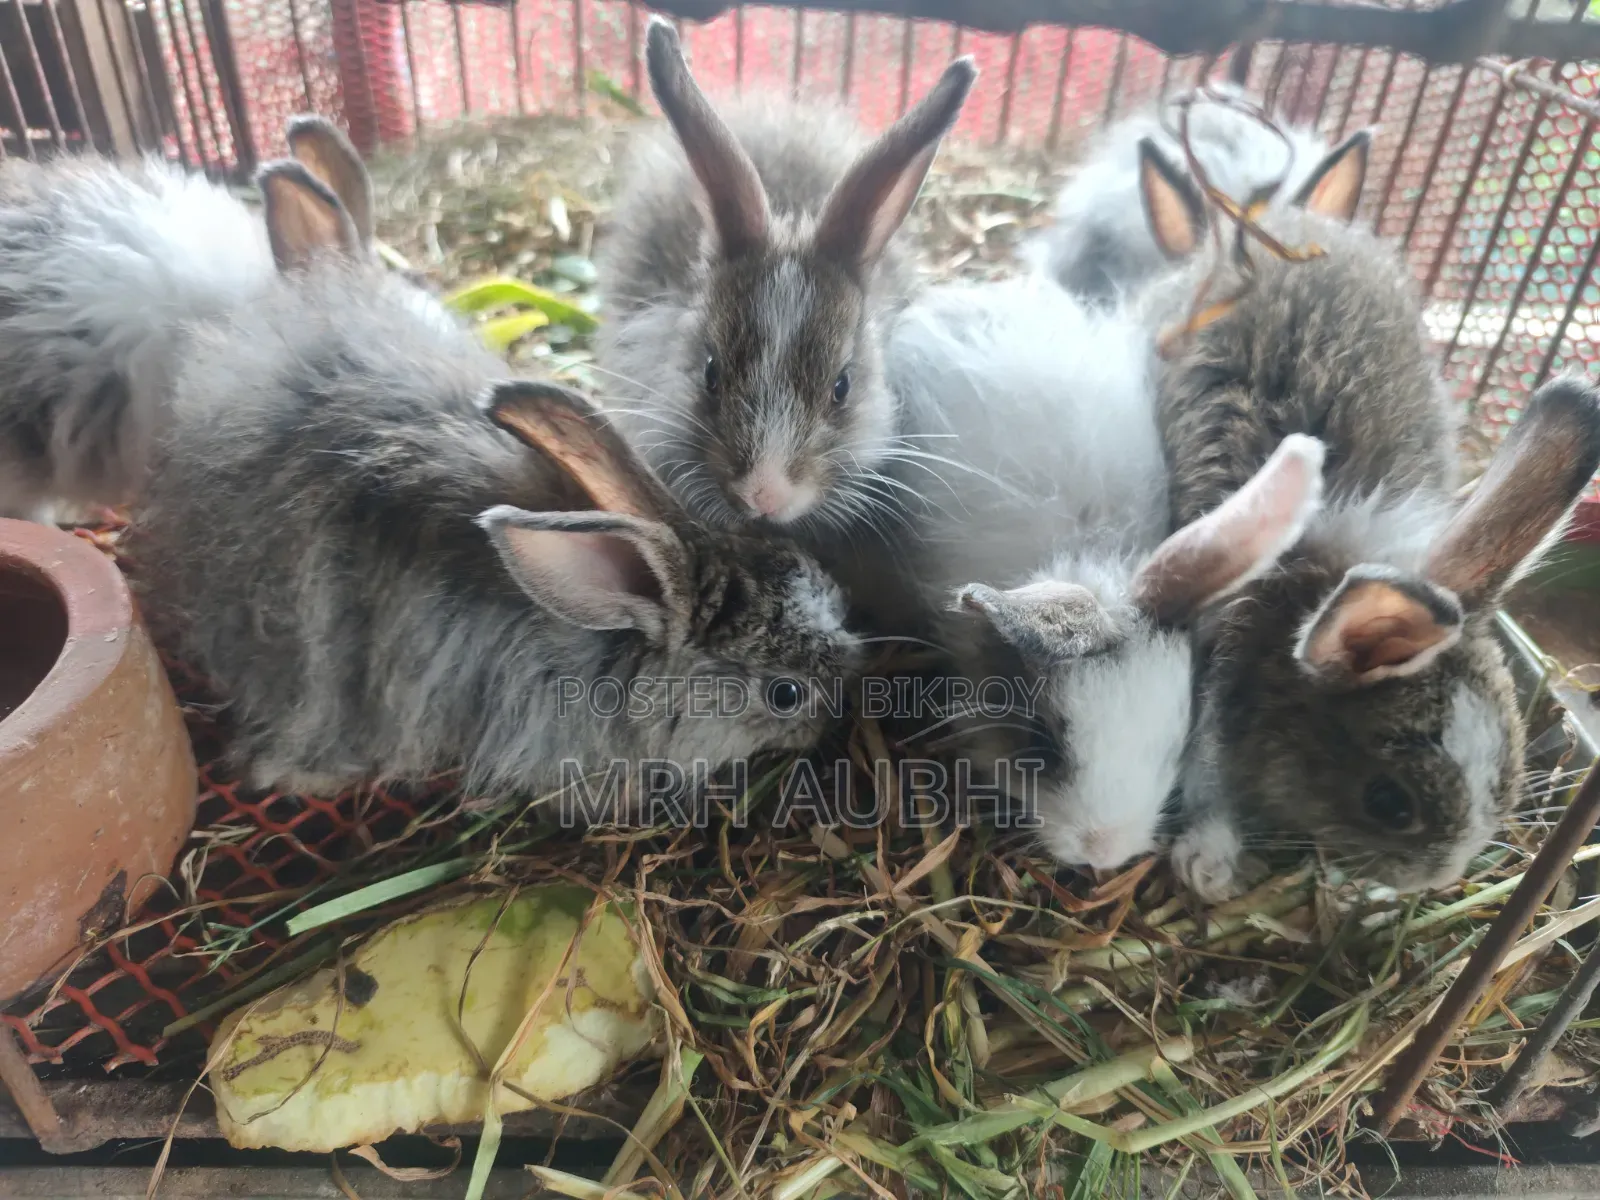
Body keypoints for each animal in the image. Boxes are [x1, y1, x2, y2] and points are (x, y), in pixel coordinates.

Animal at [1128, 128, 1600, 898]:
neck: (1300, 596)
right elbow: (1208, 786)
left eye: (1507, 780)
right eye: (1389, 803)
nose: (1439, 879)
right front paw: (1210, 867)